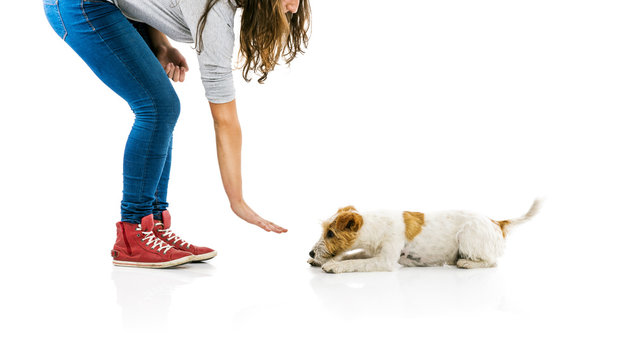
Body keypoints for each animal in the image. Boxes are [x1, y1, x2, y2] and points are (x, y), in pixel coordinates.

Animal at [306, 200, 540, 272]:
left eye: (330, 233)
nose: (310, 252)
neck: (374, 225)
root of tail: (496, 222)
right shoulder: (371, 251)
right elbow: (351, 255)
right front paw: (322, 261)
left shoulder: (384, 260)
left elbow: (353, 263)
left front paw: (333, 265)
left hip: (467, 237)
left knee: (492, 262)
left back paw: (465, 263)